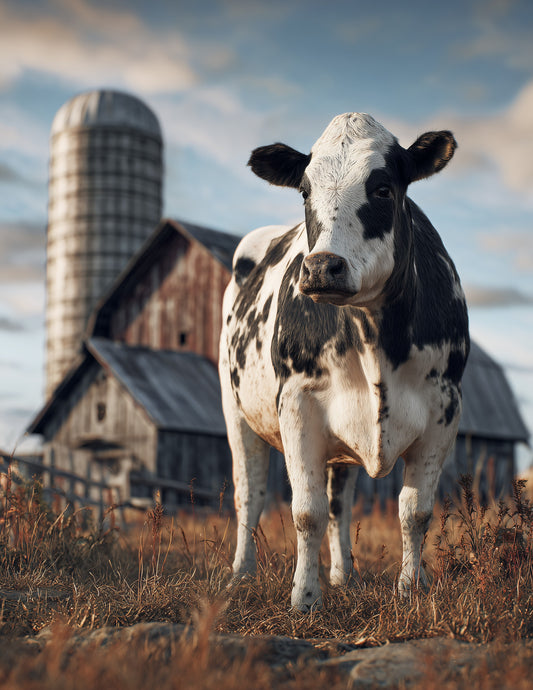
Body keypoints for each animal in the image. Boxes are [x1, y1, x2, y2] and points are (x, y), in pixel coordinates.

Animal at [219, 112, 469, 611]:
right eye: (304, 191)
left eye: (384, 188)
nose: (321, 267)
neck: (376, 342)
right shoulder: (297, 403)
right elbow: (306, 512)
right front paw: (304, 599)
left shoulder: (444, 409)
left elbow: (415, 512)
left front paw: (410, 590)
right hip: (235, 411)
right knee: (248, 495)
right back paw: (241, 575)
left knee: (339, 500)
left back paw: (343, 576)